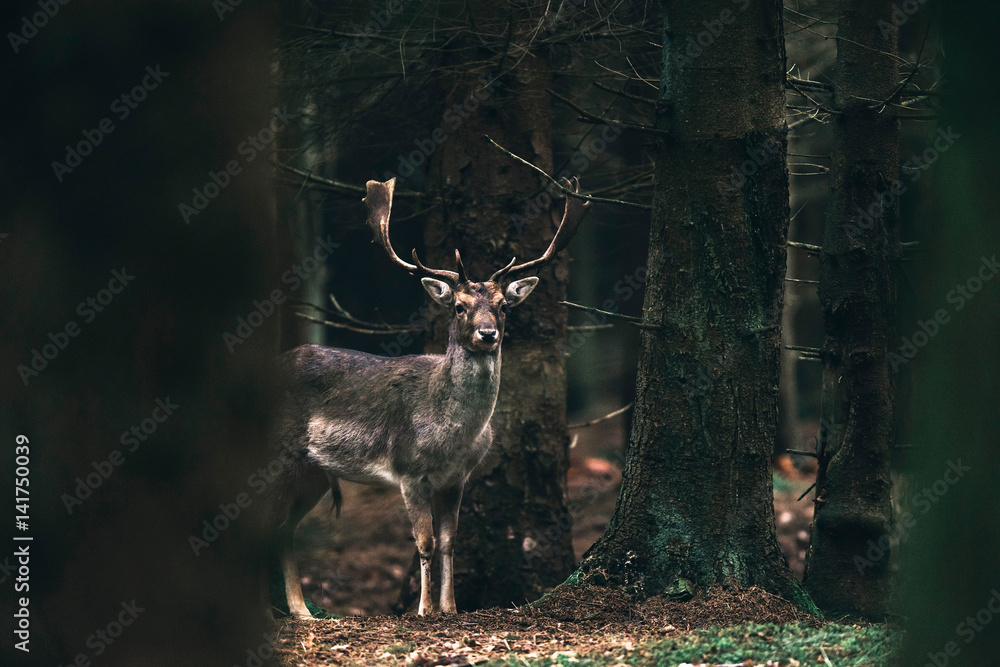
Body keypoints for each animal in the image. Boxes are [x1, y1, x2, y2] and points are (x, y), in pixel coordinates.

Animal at [266, 177, 586, 618]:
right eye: (458, 307)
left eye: (504, 306)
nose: (488, 334)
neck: (453, 436)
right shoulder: (408, 470)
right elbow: (425, 542)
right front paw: (423, 610)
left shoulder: (457, 478)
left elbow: (450, 541)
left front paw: (450, 607)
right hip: (278, 455)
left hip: (312, 471)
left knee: (283, 528)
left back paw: (300, 610)